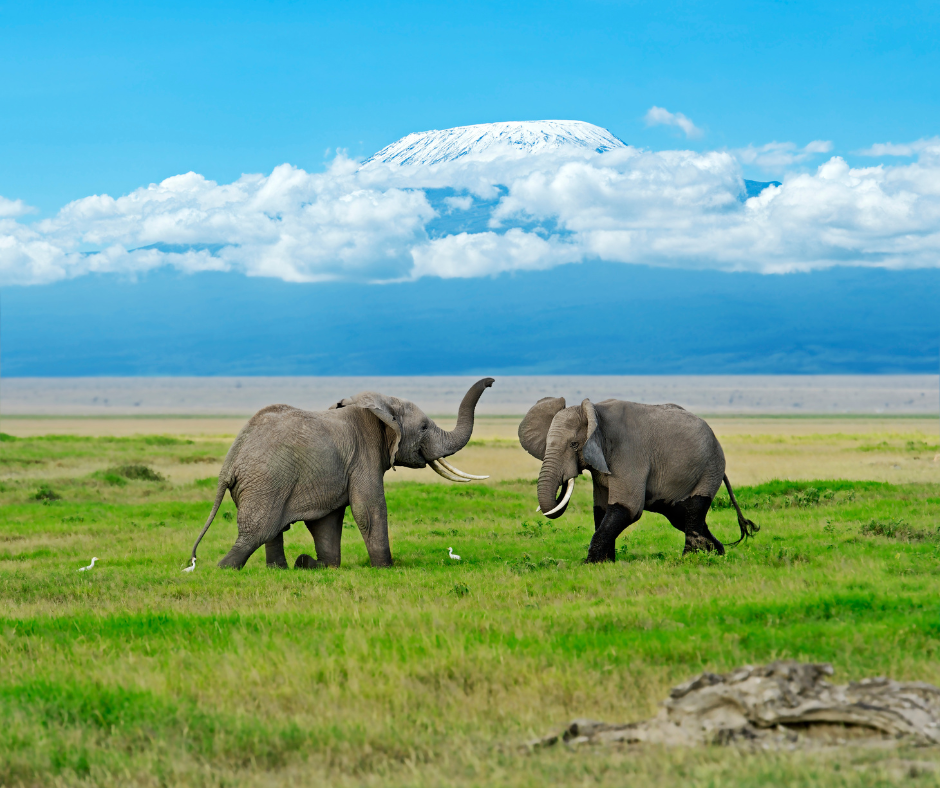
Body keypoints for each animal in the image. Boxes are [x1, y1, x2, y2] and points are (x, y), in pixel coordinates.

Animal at [192, 378, 500, 568]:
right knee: (257, 532)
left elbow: (328, 520)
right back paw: (224, 569)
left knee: (272, 531)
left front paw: (322, 565)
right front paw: (385, 567)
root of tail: (230, 462)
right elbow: (369, 509)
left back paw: (285, 568)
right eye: (424, 427)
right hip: (266, 481)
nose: (492, 382)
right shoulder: (364, 455)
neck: (381, 406)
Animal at [516, 400, 760, 560]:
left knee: (693, 510)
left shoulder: (628, 453)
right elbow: (601, 510)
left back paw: (690, 559)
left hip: (710, 468)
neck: (594, 412)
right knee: (681, 516)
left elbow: (627, 507)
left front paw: (590, 563)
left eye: (574, 445)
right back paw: (717, 553)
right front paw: (605, 563)